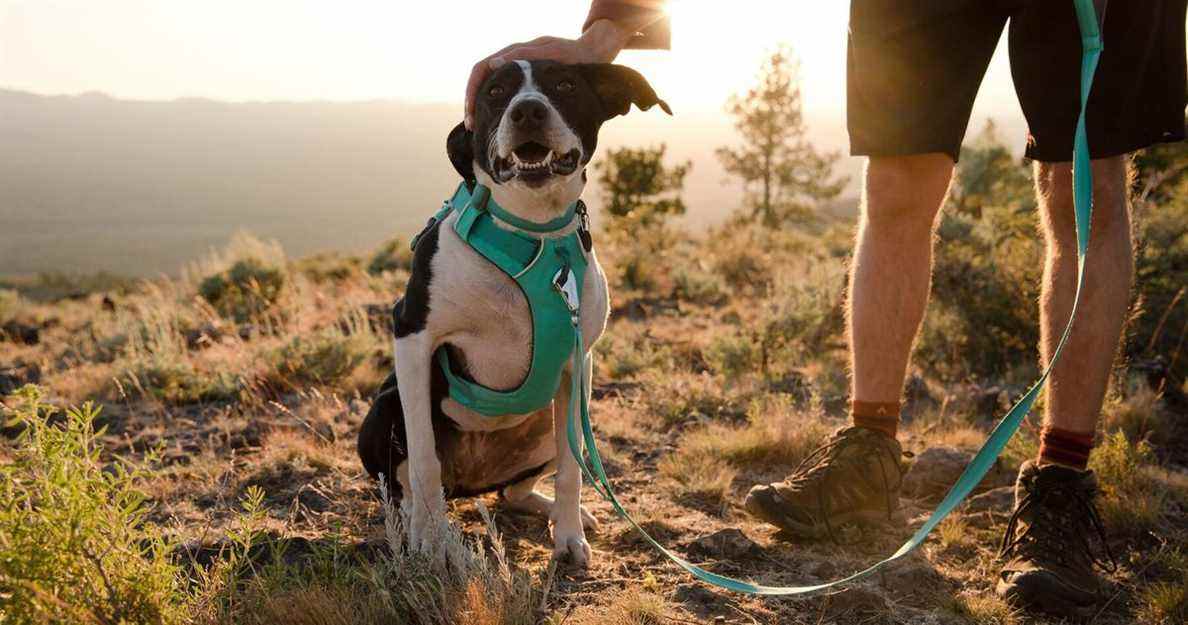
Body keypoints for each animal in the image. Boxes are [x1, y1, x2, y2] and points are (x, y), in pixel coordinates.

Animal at [354, 60, 670, 567]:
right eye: (495, 92)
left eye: (564, 84)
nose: (527, 111)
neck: (532, 232)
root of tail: (471, 482)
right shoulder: (412, 336)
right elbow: (423, 459)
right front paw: (432, 541)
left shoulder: (578, 364)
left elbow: (572, 468)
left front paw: (568, 535)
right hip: (384, 410)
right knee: (404, 488)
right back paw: (414, 522)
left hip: (548, 422)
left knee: (517, 490)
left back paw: (555, 510)